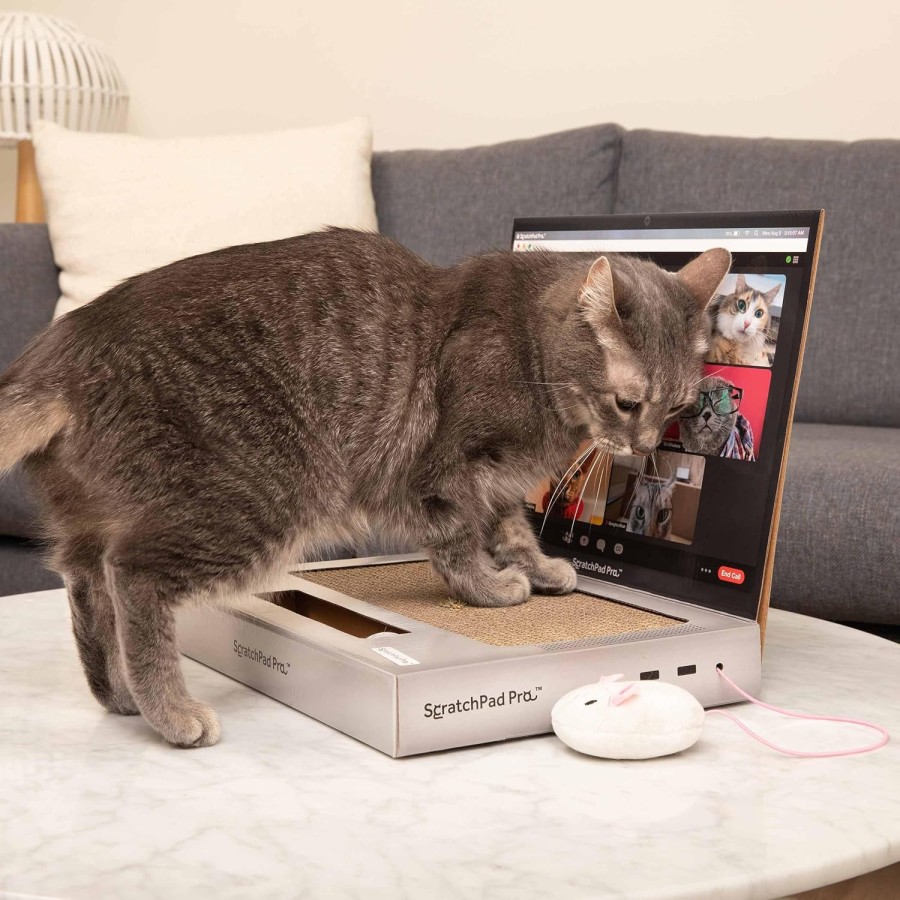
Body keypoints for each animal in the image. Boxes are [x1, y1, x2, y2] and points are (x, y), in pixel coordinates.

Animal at [0, 229, 732, 748]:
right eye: (628, 402)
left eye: (676, 407)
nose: (644, 448)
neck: (533, 354)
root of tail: (62, 352)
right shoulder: (442, 475)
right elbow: (462, 542)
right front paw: (491, 588)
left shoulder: (498, 484)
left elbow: (512, 526)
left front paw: (543, 567)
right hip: (256, 501)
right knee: (133, 575)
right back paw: (170, 710)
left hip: (94, 521)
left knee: (86, 587)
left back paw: (119, 692)